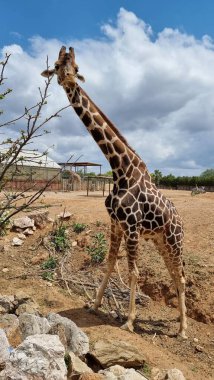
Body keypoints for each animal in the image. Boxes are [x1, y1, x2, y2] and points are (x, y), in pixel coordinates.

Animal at [41, 46, 187, 338]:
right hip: (161, 241)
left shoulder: (131, 227)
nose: (67, 79)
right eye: (57, 66)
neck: (120, 170)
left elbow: (134, 272)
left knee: (181, 276)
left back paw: (184, 329)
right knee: (174, 274)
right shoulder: (115, 224)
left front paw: (129, 321)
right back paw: (178, 324)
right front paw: (95, 304)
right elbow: (109, 264)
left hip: (174, 240)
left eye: (76, 67)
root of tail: (179, 221)